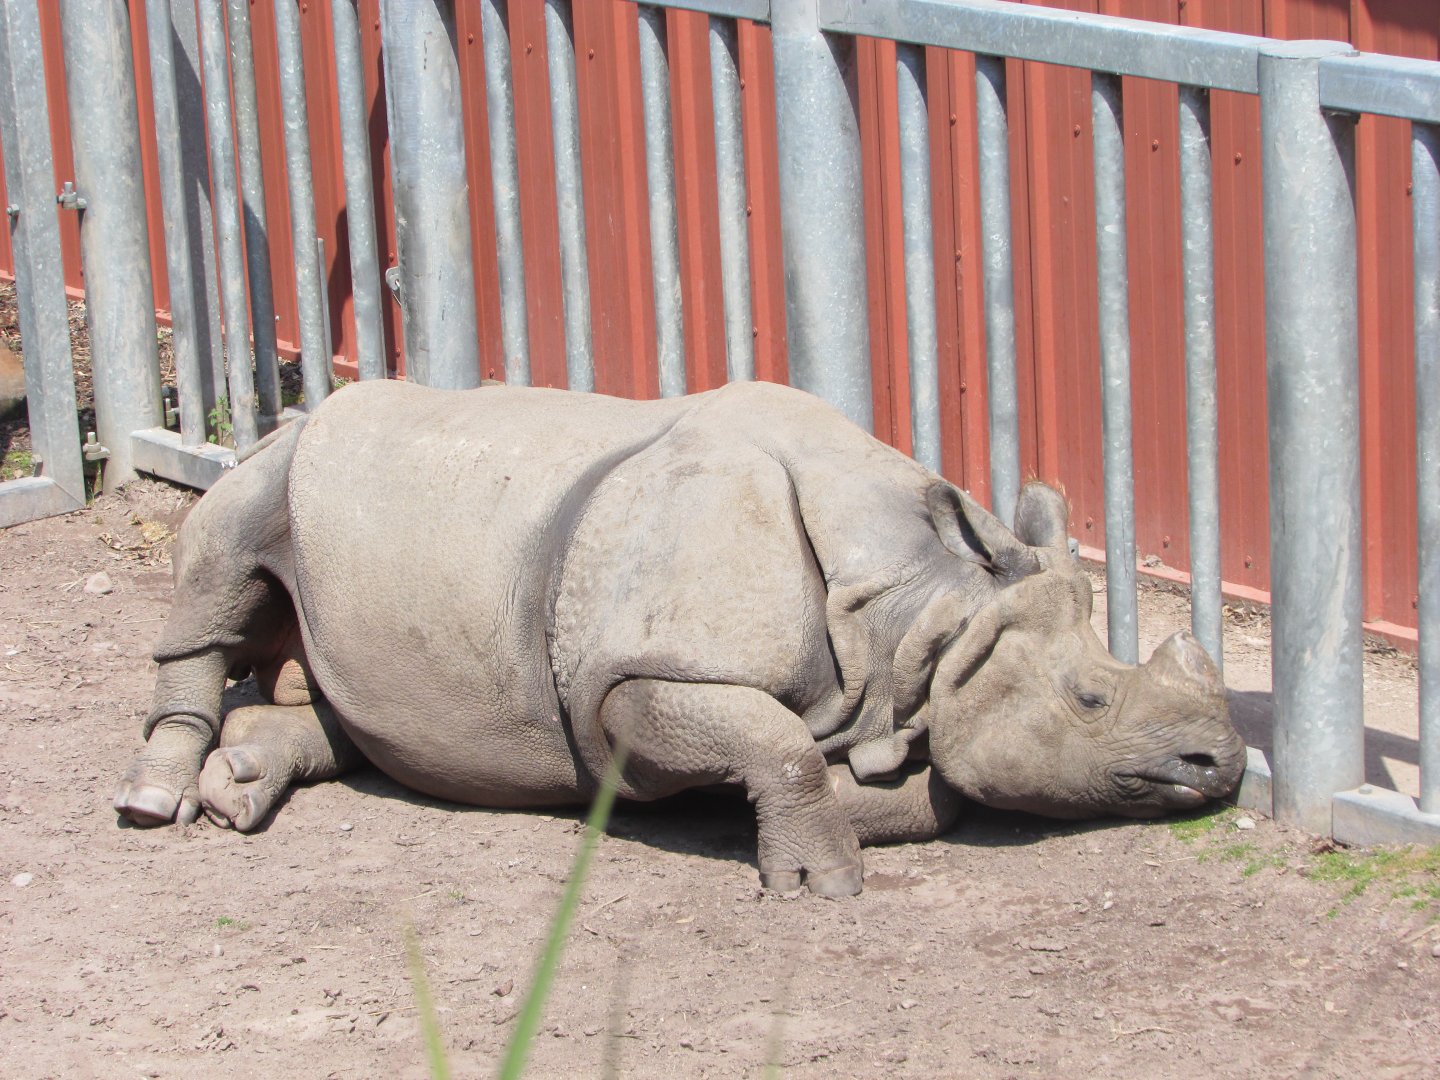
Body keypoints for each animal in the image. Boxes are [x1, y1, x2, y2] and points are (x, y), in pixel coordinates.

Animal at [114, 380, 1245, 896]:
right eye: (1090, 700)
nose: (1223, 764)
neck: (918, 616)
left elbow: (922, 789)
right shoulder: (629, 681)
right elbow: (778, 743)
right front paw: (820, 884)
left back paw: (242, 783)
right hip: (285, 455)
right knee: (219, 571)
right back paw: (155, 802)